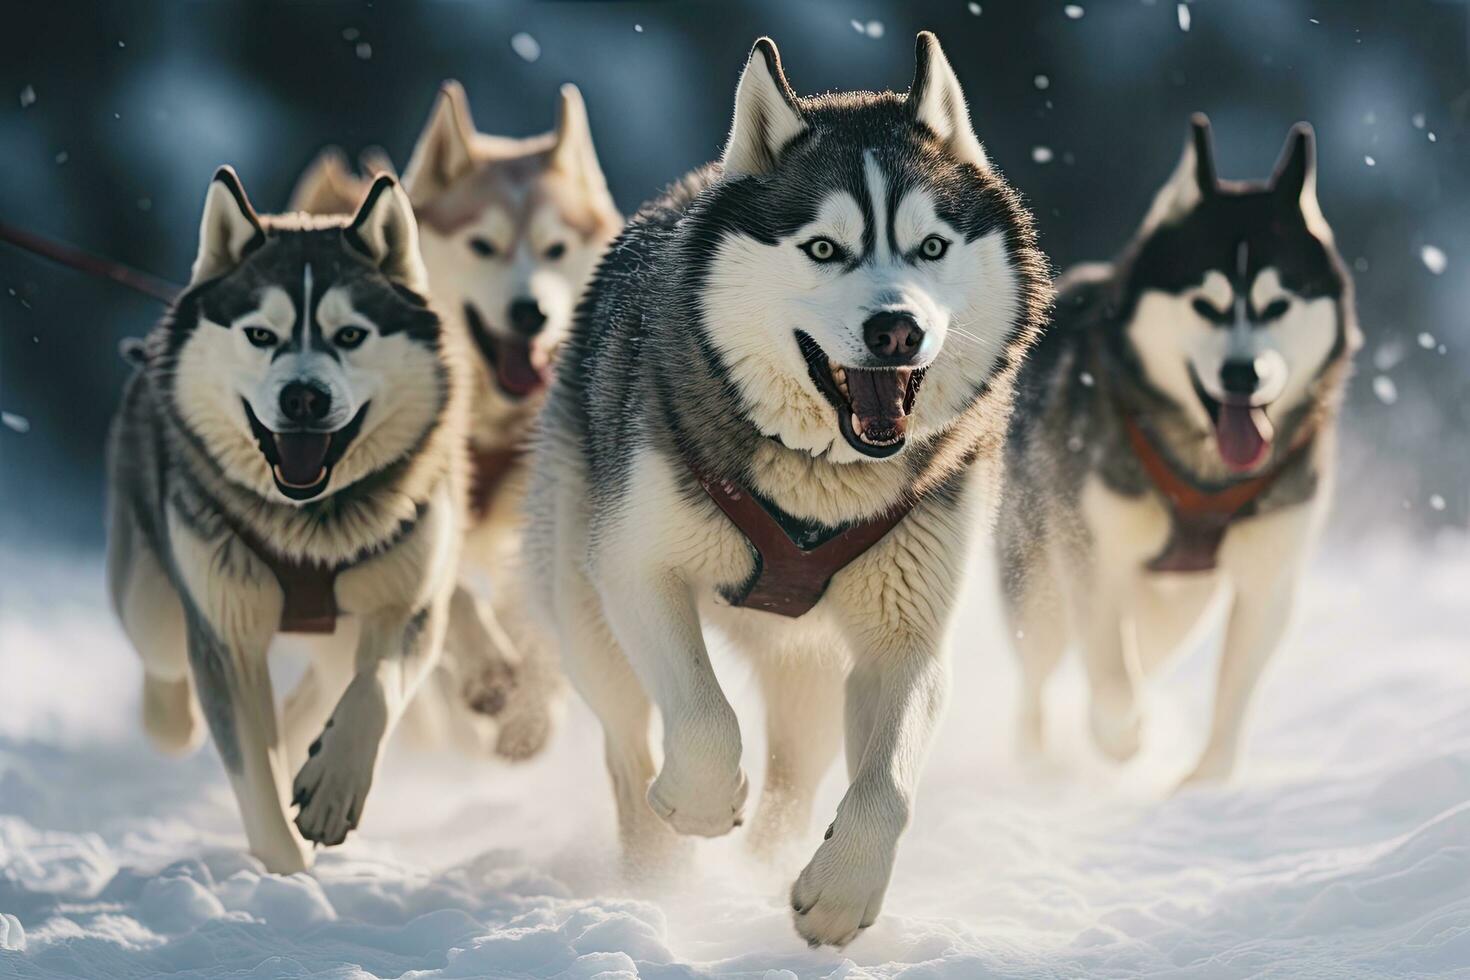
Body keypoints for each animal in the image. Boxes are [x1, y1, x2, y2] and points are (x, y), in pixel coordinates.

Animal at [106, 170, 467, 875]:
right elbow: (256, 775)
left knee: (330, 681)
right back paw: (175, 721)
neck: (310, 522)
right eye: (261, 335)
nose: (304, 396)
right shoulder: (226, 634)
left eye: (350, 335)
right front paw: (288, 876)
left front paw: (332, 786)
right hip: (153, 599)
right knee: (164, 661)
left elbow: (376, 688)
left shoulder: (411, 603)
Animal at [523, 34, 1052, 946]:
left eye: (932, 247)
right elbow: (703, 720)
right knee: (627, 744)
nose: (896, 329)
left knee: (795, 775)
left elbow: (887, 786)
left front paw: (839, 891)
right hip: (585, 612)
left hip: (807, 663)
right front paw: (701, 805)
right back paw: (656, 875)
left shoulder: (908, 633)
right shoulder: (637, 566)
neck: (819, 488)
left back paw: (766, 862)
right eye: (823, 249)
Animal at [999, 115, 1352, 787]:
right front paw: (1121, 735)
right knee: (1037, 675)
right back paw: (1036, 763)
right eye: (1205, 305)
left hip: (1179, 606)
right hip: (1037, 575)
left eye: (1277, 305)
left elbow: (1235, 690)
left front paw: (1206, 784)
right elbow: (1110, 666)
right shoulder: (1091, 549)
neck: (1207, 470)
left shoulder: (1269, 574)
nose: (1242, 374)